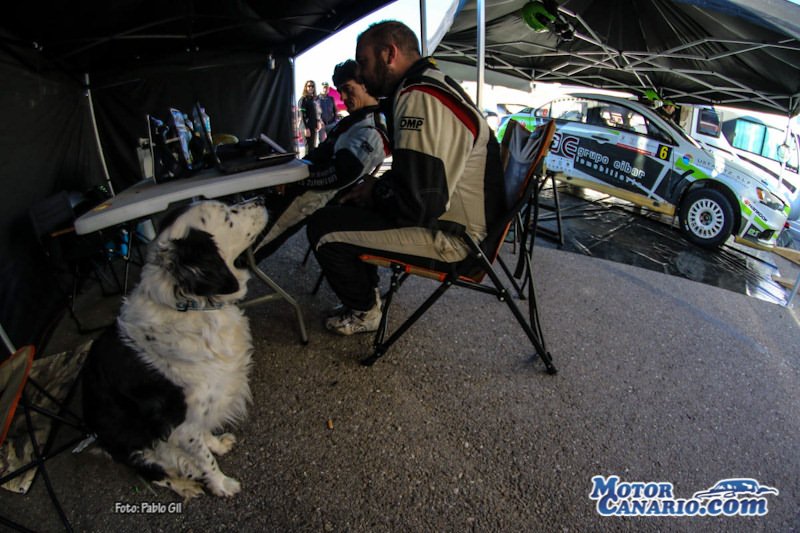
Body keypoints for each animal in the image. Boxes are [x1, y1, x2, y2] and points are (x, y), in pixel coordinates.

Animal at [83, 196, 268, 498]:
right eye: (228, 215)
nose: (261, 199)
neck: (191, 305)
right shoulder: (177, 423)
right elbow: (204, 459)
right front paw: (222, 484)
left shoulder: (199, 409)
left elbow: (203, 436)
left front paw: (216, 444)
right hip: (134, 445)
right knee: (155, 473)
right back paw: (185, 486)